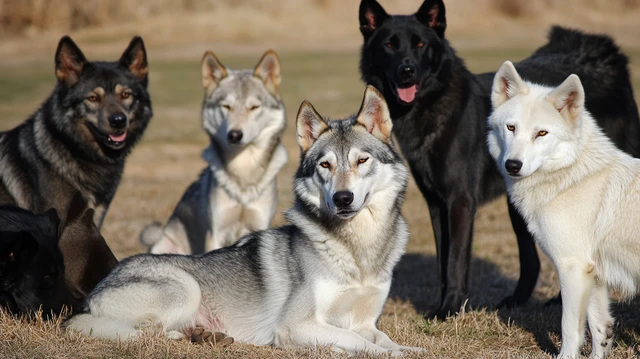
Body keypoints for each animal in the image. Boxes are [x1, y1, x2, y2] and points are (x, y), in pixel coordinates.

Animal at [63, 86, 424, 358]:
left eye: (362, 160)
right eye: (325, 165)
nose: (343, 198)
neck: (358, 250)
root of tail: (93, 294)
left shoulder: (366, 321)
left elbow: (380, 338)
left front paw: (409, 349)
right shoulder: (297, 324)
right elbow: (360, 343)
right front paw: (380, 353)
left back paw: (204, 336)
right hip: (185, 289)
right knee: (147, 332)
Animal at [358, 0, 640, 318]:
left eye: (420, 44)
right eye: (389, 45)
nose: (407, 71)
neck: (433, 108)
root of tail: (604, 52)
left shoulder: (460, 202)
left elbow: (455, 262)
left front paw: (451, 308)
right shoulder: (436, 204)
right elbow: (442, 262)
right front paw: (442, 306)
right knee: (534, 261)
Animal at [484, 62, 640, 359]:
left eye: (541, 133)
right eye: (511, 128)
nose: (513, 165)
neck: (572, 176)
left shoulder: (572, 268)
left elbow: (570, 328)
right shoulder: (593, 273)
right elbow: (600, 330)